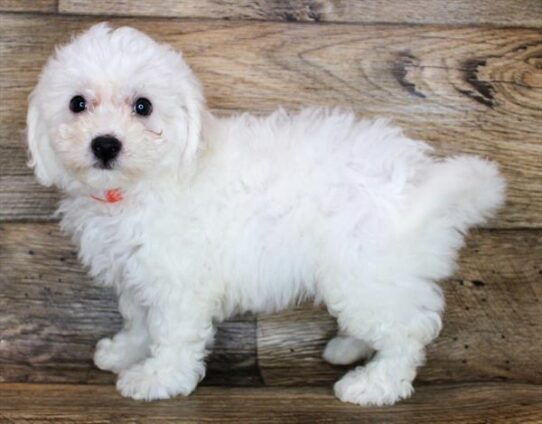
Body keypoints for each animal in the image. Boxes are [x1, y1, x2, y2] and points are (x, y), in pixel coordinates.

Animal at [27, 22, 508, 404]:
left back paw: (374, 385)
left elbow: (171, 334)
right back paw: (349, 348)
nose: (105, 144)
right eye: (77, 103)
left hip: (366, 272)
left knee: (408, 332)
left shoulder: (179, 284)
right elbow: (139, 319)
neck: (138, 188)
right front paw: (126, 352)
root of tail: (421, 182)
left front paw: (157, 378)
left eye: (143, 106)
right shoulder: (137, 274)